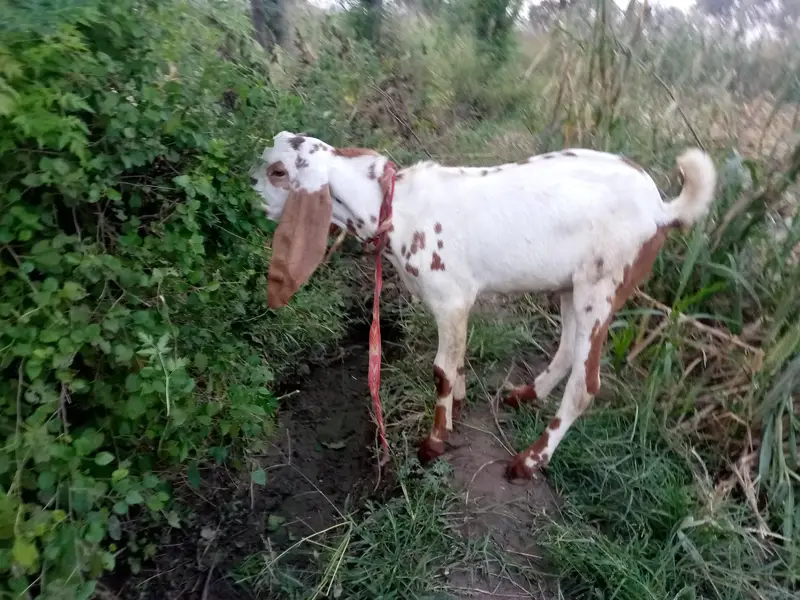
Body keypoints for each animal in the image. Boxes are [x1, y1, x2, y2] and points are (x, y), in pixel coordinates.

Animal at [250, 131, 717, 480]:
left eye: (278, 172)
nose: (250, 190)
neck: (397, 209)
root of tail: (661, 209)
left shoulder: (450, 298)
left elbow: (441, 369)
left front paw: (434, 443)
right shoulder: (456, 306)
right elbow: (455, 361)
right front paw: (457, 404)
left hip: (602, 287)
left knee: (586, 385)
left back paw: (529, 461)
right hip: (571, 284)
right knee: (568, 347)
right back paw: (525, 395)